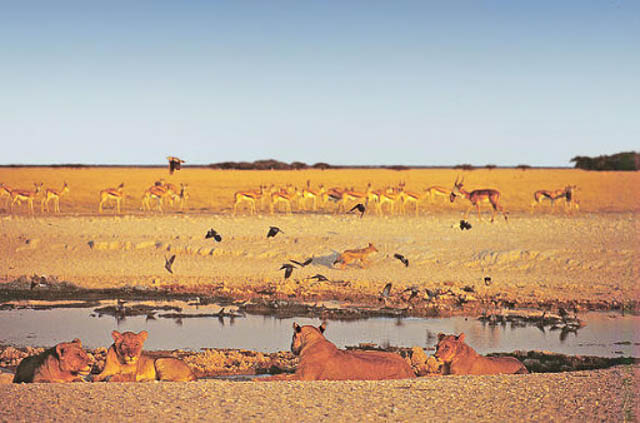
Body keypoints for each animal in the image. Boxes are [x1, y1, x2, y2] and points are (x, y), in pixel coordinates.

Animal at [258, 322, 416, 382]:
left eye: (292, 337)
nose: (291, 347)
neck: (314, 340)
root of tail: (410, 370)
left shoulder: (304, 376)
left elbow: (279, 376)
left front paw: (258, 379)